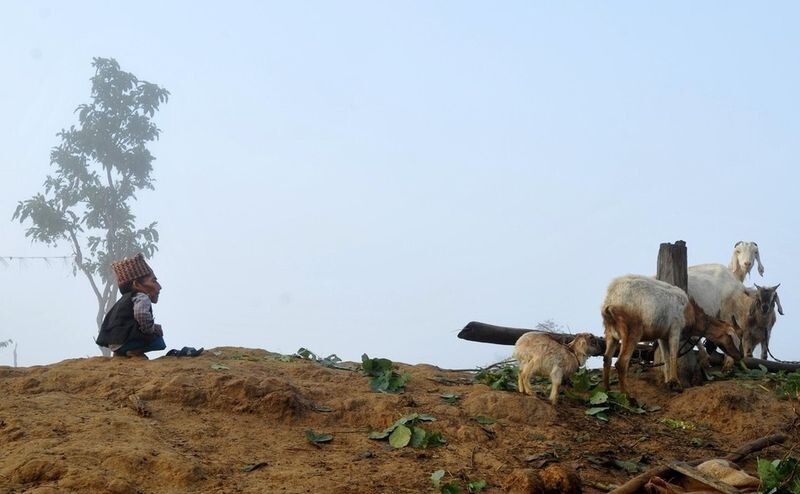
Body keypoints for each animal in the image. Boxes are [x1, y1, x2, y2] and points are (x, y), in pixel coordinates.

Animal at [600, 274, 744, 394]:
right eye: (734, 338)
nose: (740, 356)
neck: (689, 311)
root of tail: (611, 299)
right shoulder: (675, 329)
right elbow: (673, 355)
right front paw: (676, 384)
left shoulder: (662, 337)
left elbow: (666, 357)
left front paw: (667, 381)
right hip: (632, 332)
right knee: (621, 363)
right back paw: (629, 398)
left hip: (611, 334)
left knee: (607, 358)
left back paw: (607, 391)